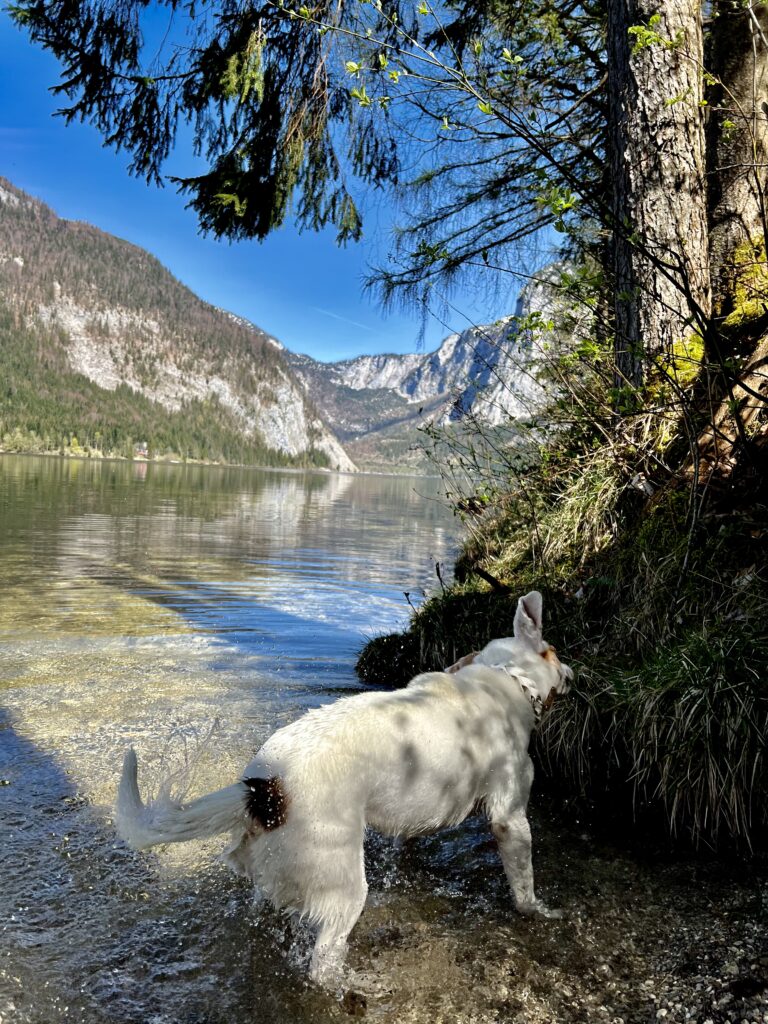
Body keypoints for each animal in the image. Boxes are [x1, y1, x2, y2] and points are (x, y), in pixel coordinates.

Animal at [114, 593, 573, 983]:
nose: (572, 673)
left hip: (270, 870)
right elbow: (524, 885)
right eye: (553, 651)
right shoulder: (509, 818)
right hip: (344, 889)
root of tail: (266, 789)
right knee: (323, 965)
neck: (507, 678)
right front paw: (542, 912)